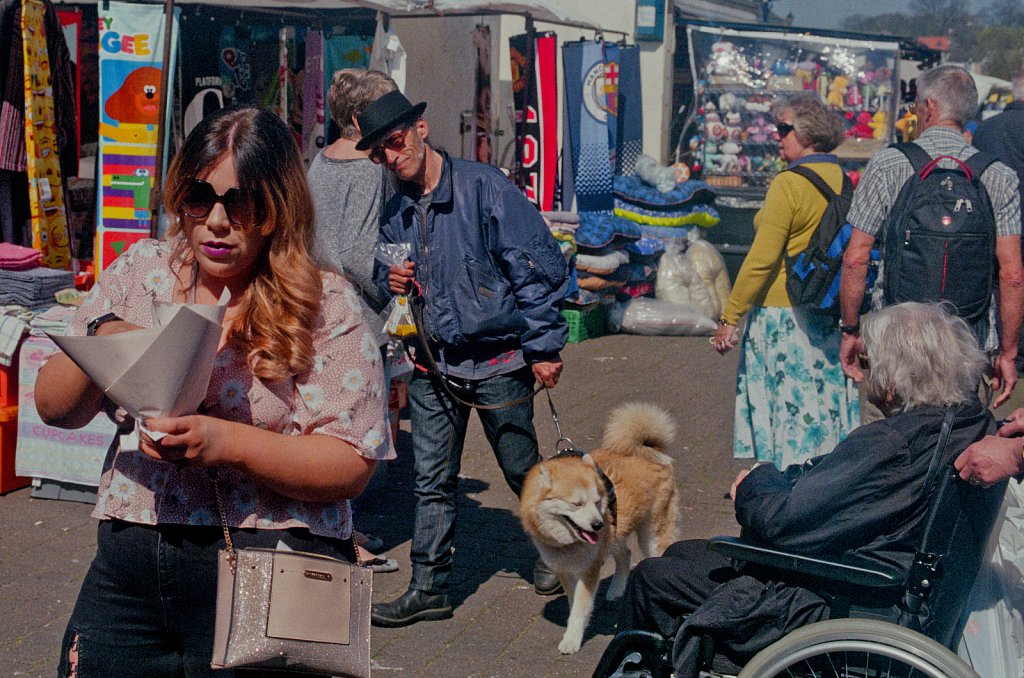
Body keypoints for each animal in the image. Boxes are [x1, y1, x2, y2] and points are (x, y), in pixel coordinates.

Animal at [520, 401, 679, 655]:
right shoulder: (565, 569)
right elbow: (574, 603)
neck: (568, 545)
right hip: (615, 534)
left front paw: (572, 639)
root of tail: (648, 448)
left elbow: (579, 608)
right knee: (625, 554)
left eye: (596, 501)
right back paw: (616, 590)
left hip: (650, 534)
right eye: (576, 504)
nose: (598, 524)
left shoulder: (589, 569)